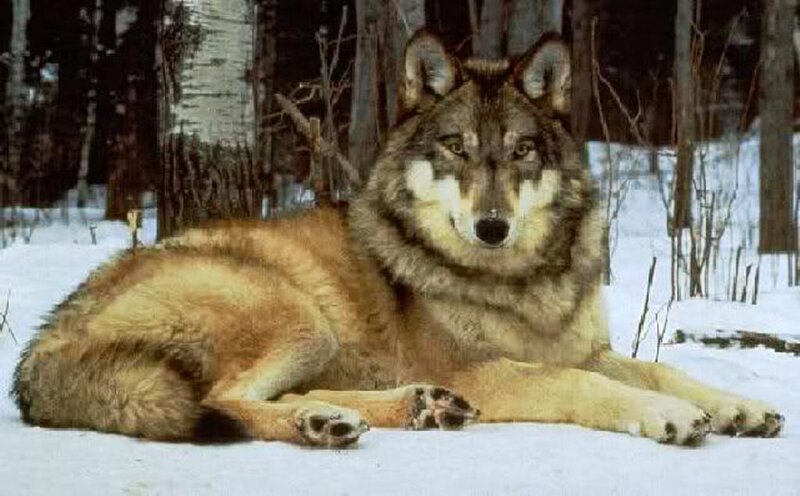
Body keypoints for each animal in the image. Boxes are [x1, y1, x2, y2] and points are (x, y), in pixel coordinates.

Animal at [11, 31, 783, 447]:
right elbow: (583, 384)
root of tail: (47, 339)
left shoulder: (584, 348)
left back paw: (410, 408)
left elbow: (655, 368)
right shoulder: (490, 369)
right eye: (457, 149)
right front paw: (669, 416)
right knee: (224, 402)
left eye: (520, 151)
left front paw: (735, 405)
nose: (492, 226)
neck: (523, 282)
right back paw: (330, 423)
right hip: (298, 317)